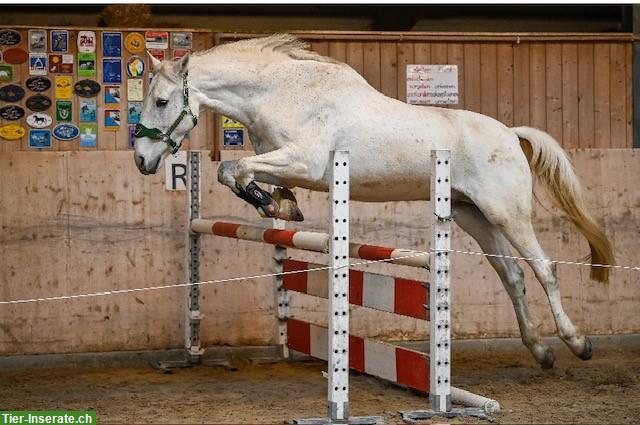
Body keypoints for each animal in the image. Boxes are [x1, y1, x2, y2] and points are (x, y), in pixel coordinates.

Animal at [133, 34, 615, 369]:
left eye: (161, 101)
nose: (141, 159)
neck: (285, 94)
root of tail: (511, 135)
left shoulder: (304, 163)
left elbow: (239, 170)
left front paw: (268, 205)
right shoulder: (284, 162)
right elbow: (235, 171)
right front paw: (279, 207)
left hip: (507, 213)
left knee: (544, 268)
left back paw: (577, 343)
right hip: (474, 216)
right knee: (513, 276)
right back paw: (540, 351)